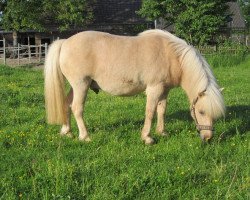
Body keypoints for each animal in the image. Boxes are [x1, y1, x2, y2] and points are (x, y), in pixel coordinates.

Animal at [44, 29, 226, 144]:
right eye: (201, 112)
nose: (208, 137)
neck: (173, 56)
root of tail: (65, 42)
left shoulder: (164, 90)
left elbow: (161, 110)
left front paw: (162, 132)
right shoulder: (154, 89)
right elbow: (150, 112)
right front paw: (147, 138)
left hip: (76, 86)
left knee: (67, 104)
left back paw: (67, 132)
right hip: (81, 84)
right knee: (77, 108)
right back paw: (85, 136)